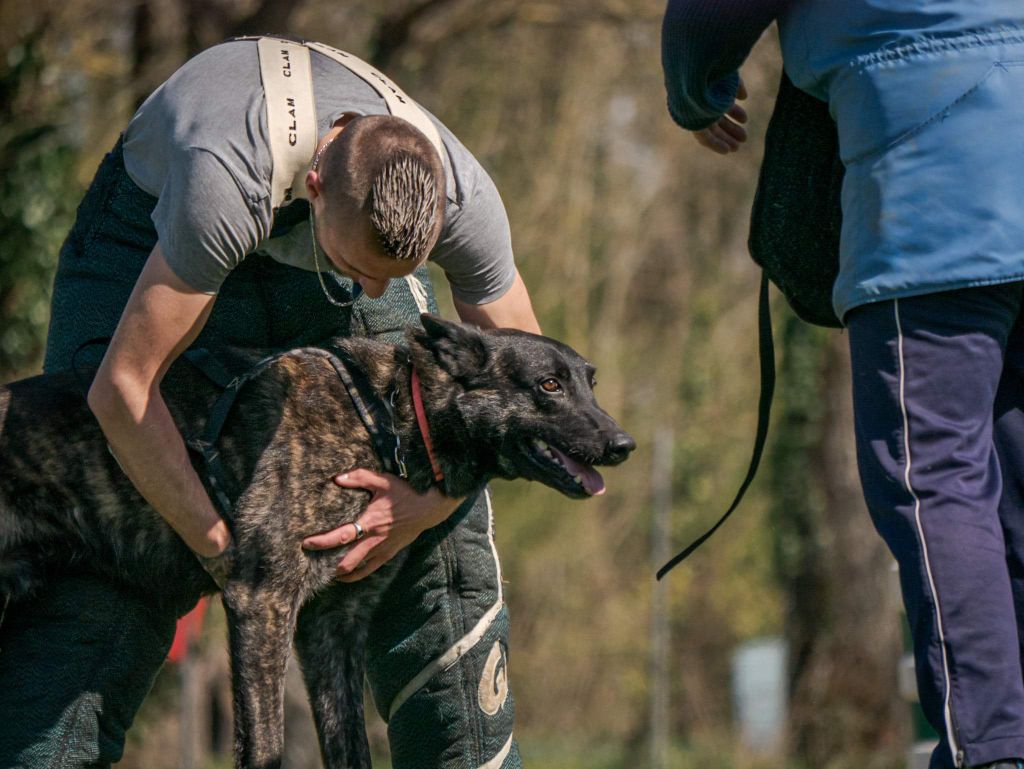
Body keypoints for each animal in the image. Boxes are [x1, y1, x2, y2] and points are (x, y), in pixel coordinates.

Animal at [0, 313, 630, 769]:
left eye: (590, 384)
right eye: (548, 385)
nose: (624, 444)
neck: (389, 415)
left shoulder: (333, 626)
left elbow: (349, 748)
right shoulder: (262, 602)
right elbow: (264, 748)